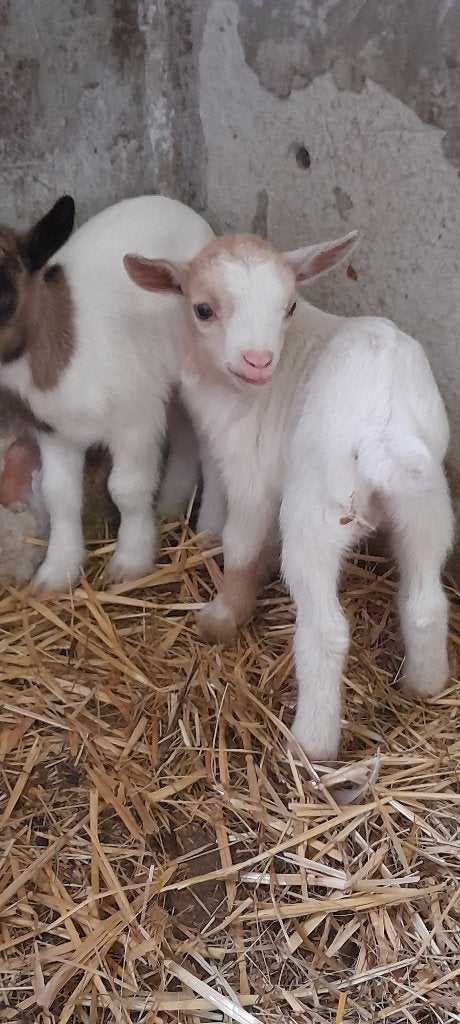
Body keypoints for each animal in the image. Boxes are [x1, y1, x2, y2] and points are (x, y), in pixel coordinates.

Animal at [0, 195, 213, 591]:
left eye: (5, 303)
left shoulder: (135, 423)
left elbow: (127, 490)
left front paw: (131, 562)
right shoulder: (56, 435)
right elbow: (59, 496)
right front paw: (57, 571)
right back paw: (171, 506)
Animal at [125, 230, 453, 760]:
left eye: (290, 306)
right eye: (203, 309)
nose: (258, 361)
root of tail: (386, 418)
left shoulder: (251, 474)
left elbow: (240, 541)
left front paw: (223, 616)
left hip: (317, 511)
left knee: (326, 628)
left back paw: (310, 743)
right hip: (426, 502)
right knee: (426, 599)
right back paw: (424, 685)